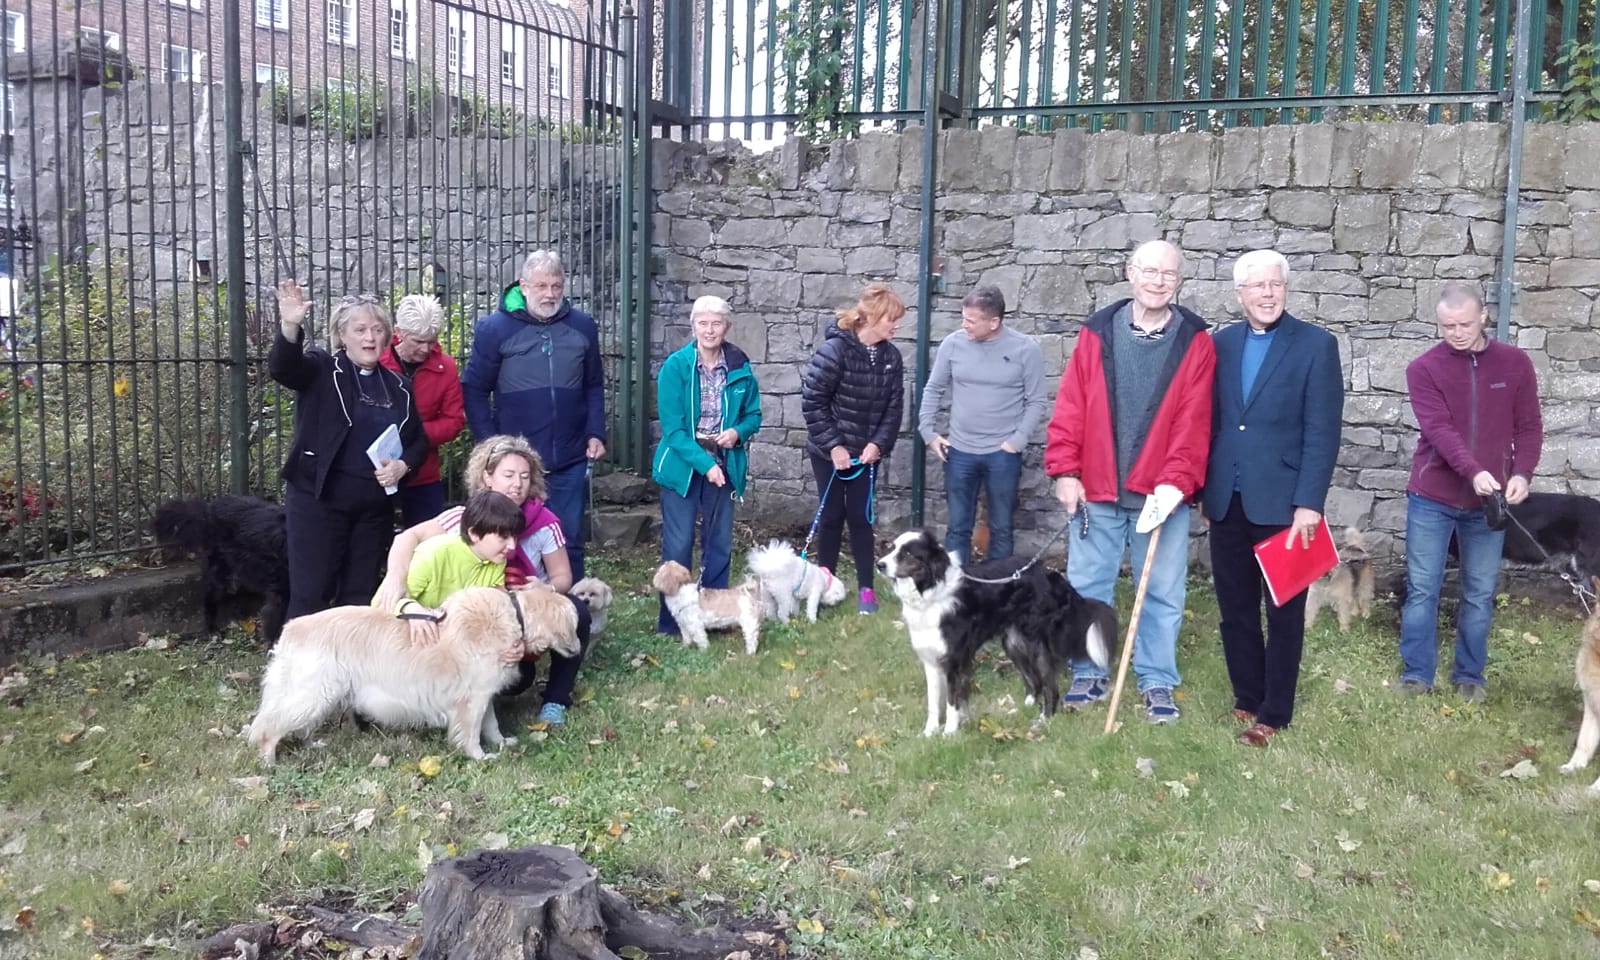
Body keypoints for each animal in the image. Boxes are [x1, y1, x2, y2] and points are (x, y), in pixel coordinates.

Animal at [246, 585, 579, 764]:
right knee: (267, 727)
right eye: (575, 626)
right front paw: (479, 757)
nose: (578, 648)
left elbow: (491, 724)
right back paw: (269, 763)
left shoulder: (483, 695)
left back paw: (312, 745)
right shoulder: (471, 700)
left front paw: (500, 742)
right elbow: (472, 732)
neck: (514, 617)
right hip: (314, 692)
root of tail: (290, 629)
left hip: (319, 694)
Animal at [876, 528, 1113, 739]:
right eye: (892, 547)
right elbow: (934, 703)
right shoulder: (932, 660)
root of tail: (1048, 573)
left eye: (908, 553)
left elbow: (952, 702)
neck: (931, 592)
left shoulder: (954, 662)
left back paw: (1044, 719)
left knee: (1050, 687)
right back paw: (1024, 706)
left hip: (1036, 644)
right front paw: (929, 733)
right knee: (1033, 680)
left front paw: (949, 733)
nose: (879, 564)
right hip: (1012, 642)